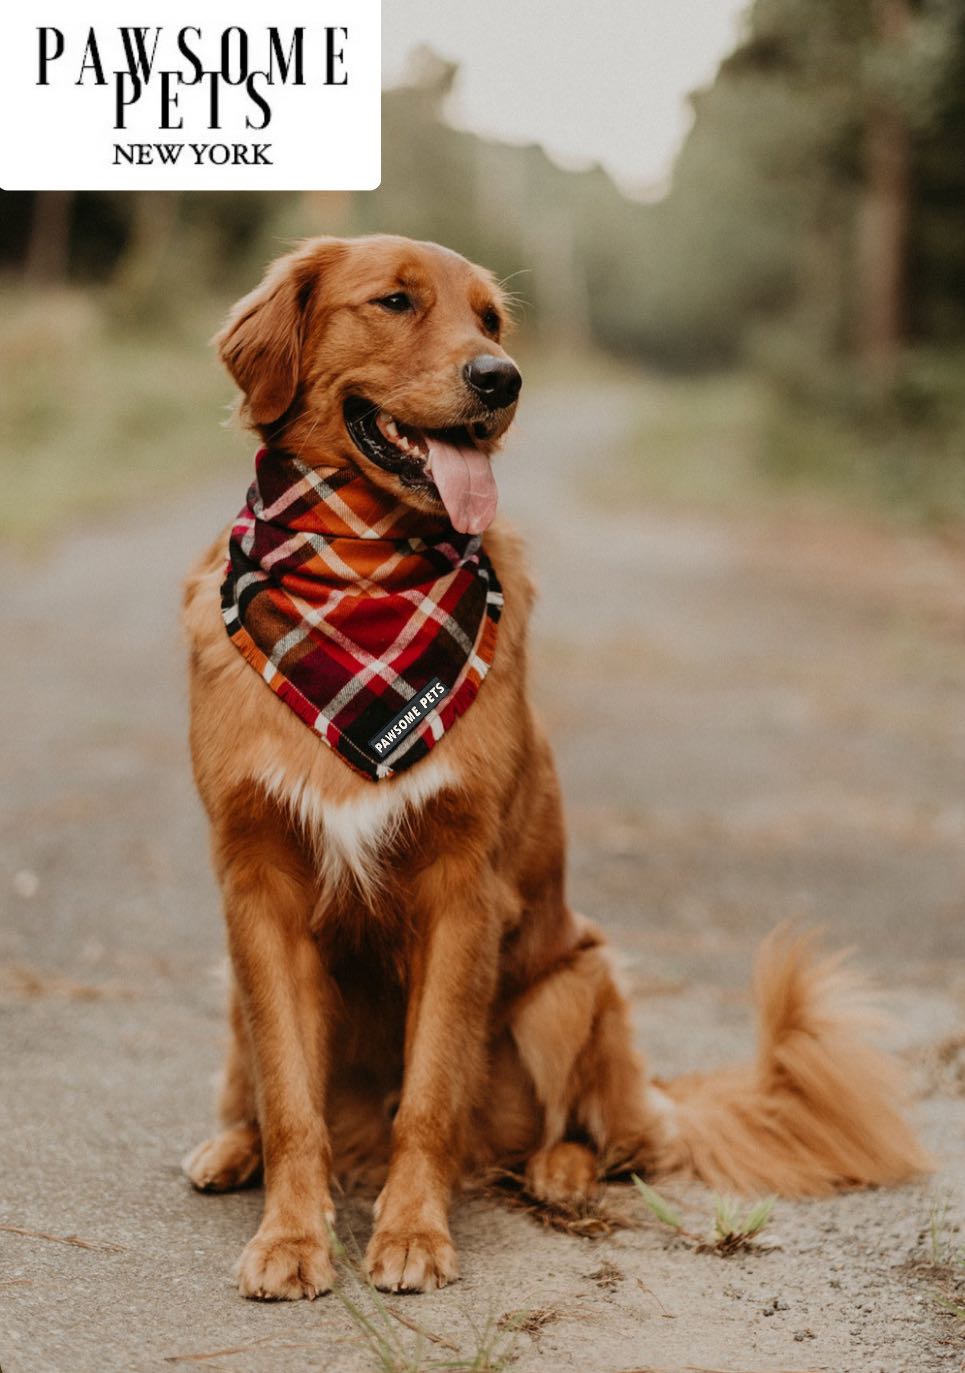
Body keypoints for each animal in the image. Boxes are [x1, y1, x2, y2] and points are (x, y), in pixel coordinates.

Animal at [179, 236, 927, 1296]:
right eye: (396, 301)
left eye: (490, 319)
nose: (502, 380)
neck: (361, 575)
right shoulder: (258, 888)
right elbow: (291, 1097)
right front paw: (289, 1235)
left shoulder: (463, 889)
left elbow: (431, 1090)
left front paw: (413, 1232)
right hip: (236, 986)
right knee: (265, 1090)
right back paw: (229, 1147)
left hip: (574, 985)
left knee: (615, 1135)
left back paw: (558, 1169)